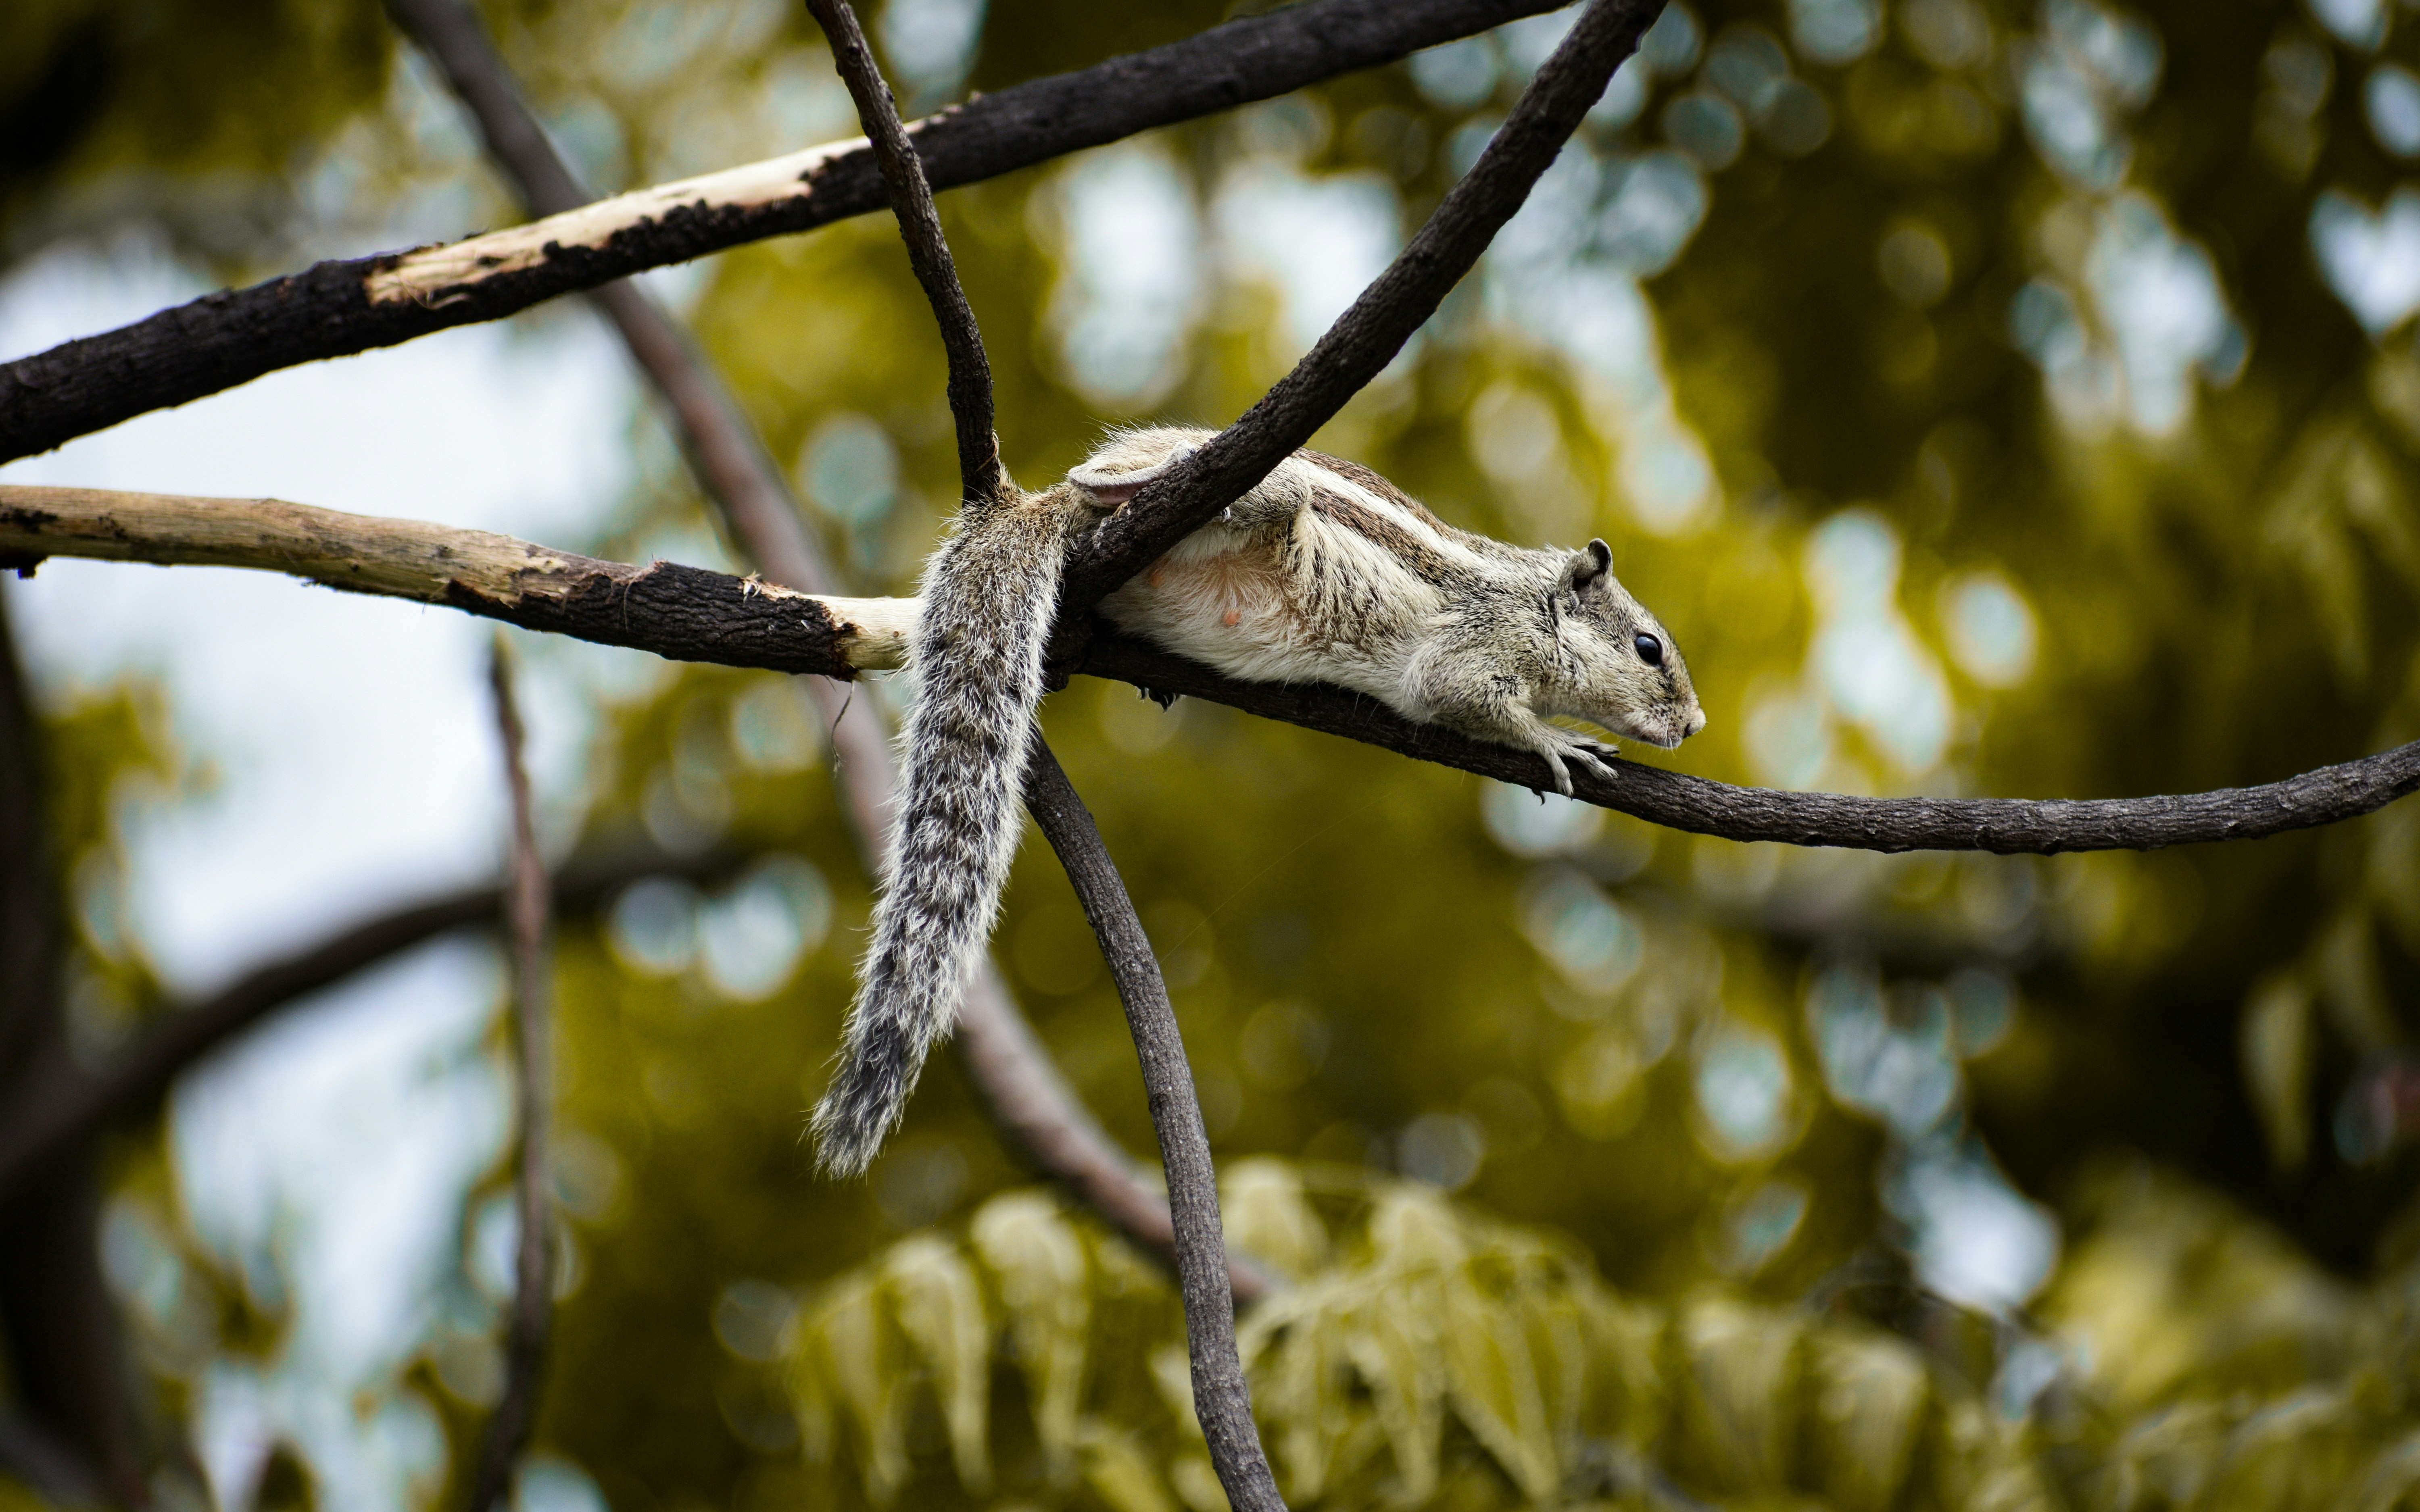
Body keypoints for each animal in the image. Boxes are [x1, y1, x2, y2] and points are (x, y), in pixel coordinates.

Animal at [811, 426, 1705, 1176]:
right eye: (1648, 648)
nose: (1694, 725)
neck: (1536, 605)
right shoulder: (1475, 650)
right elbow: (1463, 698)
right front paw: (1558, 743)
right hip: (1247, 496)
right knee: (1154, 489)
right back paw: (1118, 488)